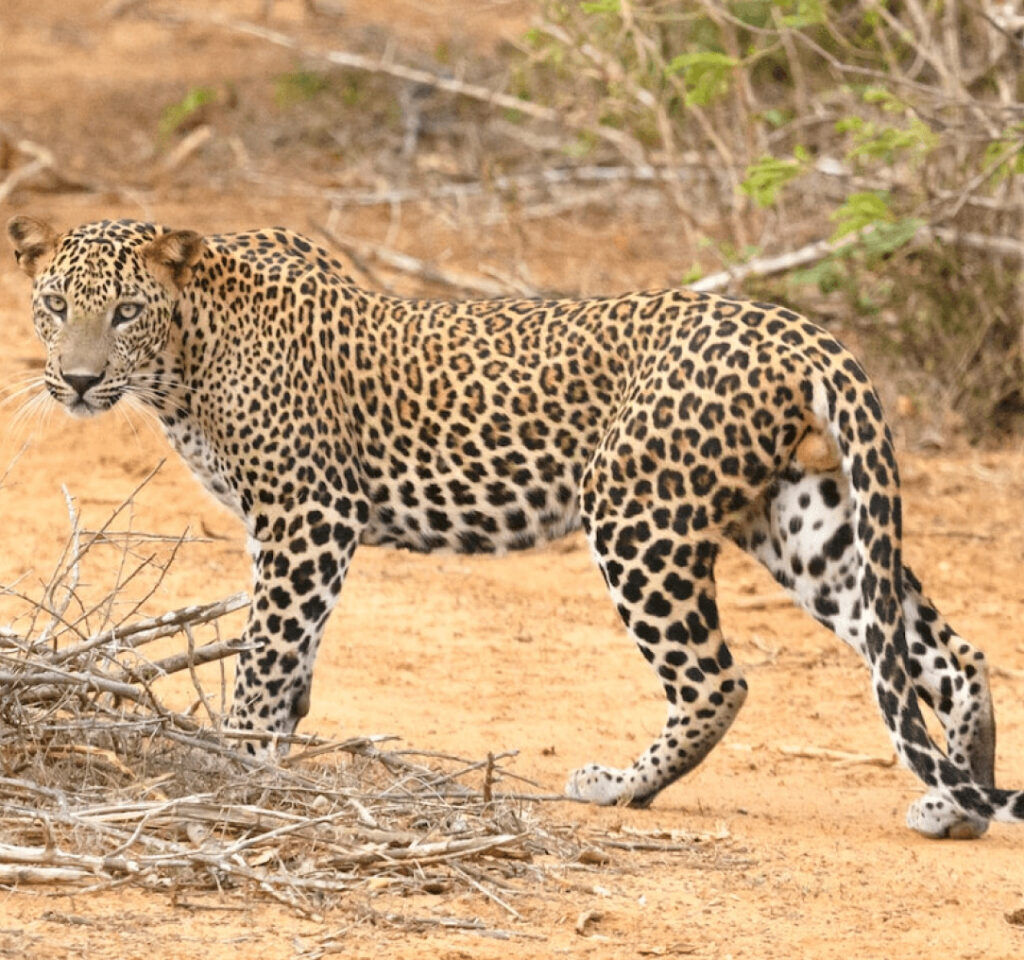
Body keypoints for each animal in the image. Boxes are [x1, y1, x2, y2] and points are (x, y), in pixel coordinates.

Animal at [8, 214, 1024, 839]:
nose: (79, 381)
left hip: (637, 512)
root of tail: (795, 329)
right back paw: (957, 804)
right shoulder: (288, 528)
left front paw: (240, 764)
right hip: (802, 519)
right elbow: (291, 654)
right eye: (54, 306)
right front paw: (275, 749)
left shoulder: (309, 513)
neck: (184, 360)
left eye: (125, 312)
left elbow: (266, 651)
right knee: (941, 652)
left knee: (717, 680)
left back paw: (621, 786)